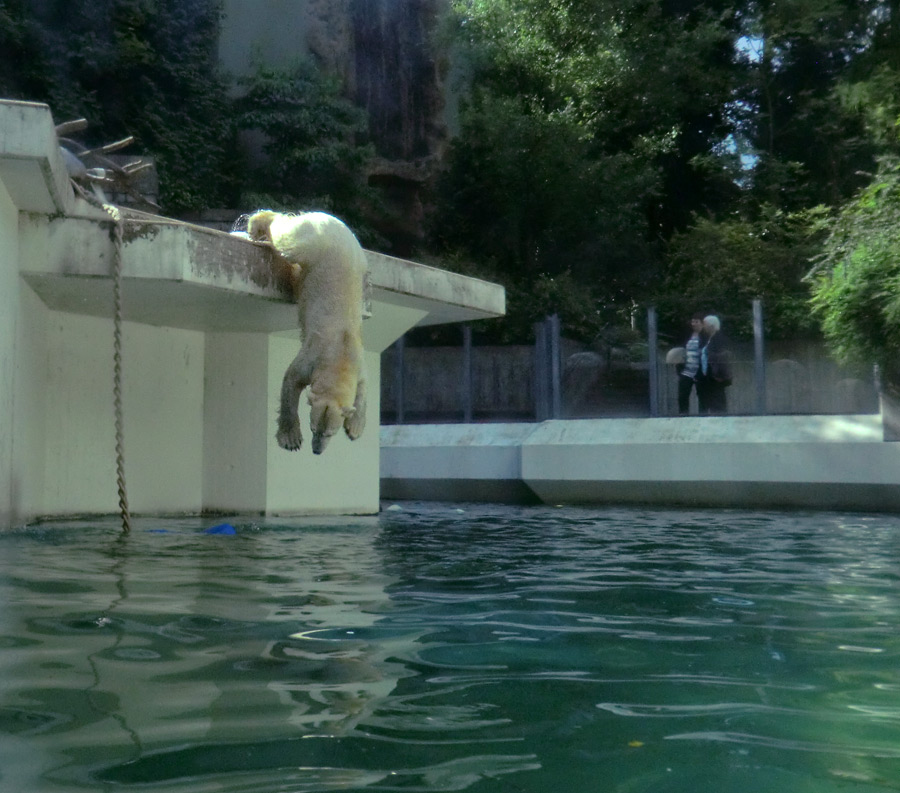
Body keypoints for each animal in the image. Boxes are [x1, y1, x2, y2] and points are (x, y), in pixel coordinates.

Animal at [248, 210, 368, 454]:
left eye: (330, 433)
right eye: (313, 429)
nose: (317, 451)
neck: (341, 356)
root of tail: (330, 219)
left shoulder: (359, 361)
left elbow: (363, 390)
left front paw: (355, 427)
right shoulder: (313, 357)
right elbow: (290, 381)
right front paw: (290, 437)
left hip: (358, 257)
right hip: (315, 242)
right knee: (288, 239)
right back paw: (257, 223)